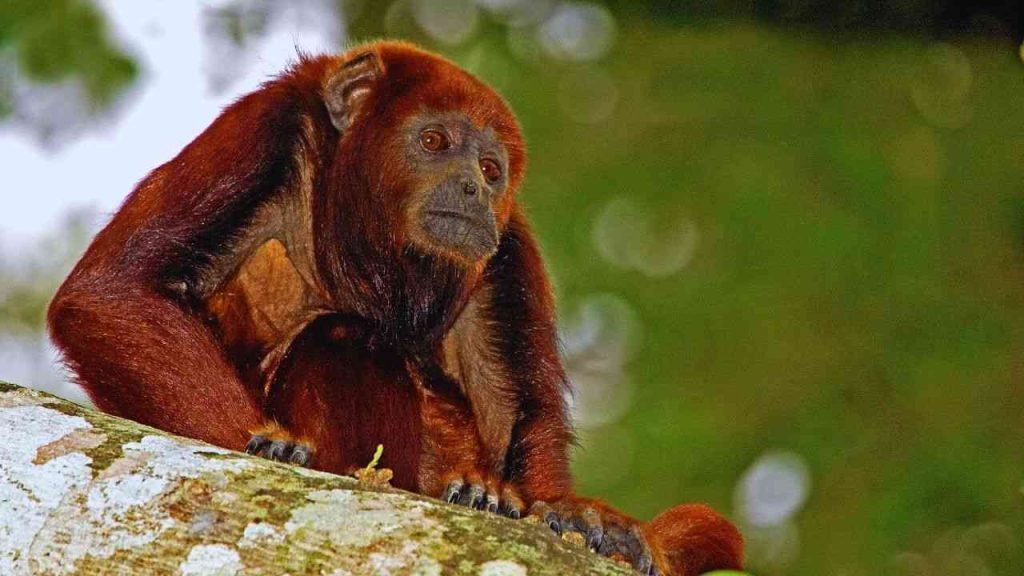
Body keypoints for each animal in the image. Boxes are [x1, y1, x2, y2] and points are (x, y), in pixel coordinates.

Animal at [47, 41, 742, 575]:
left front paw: (566, 512)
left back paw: (474, 494)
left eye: (491, 169)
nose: (473, 188)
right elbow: (111, 293)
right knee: (344, 336)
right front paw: (268, 447)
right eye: (434, 140)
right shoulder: (265, 127)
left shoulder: (505, 243)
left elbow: (518, 413)